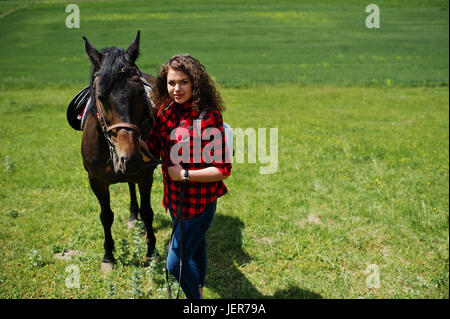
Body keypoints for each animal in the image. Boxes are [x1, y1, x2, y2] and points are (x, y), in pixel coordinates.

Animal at [80, 31, 157, 272]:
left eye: (140, 93)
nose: (129, 157)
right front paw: (108, 257)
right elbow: (106, 216)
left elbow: (148, 211)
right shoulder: (96, 181)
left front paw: (151, 252)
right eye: (100, 96)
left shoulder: (145, 173)